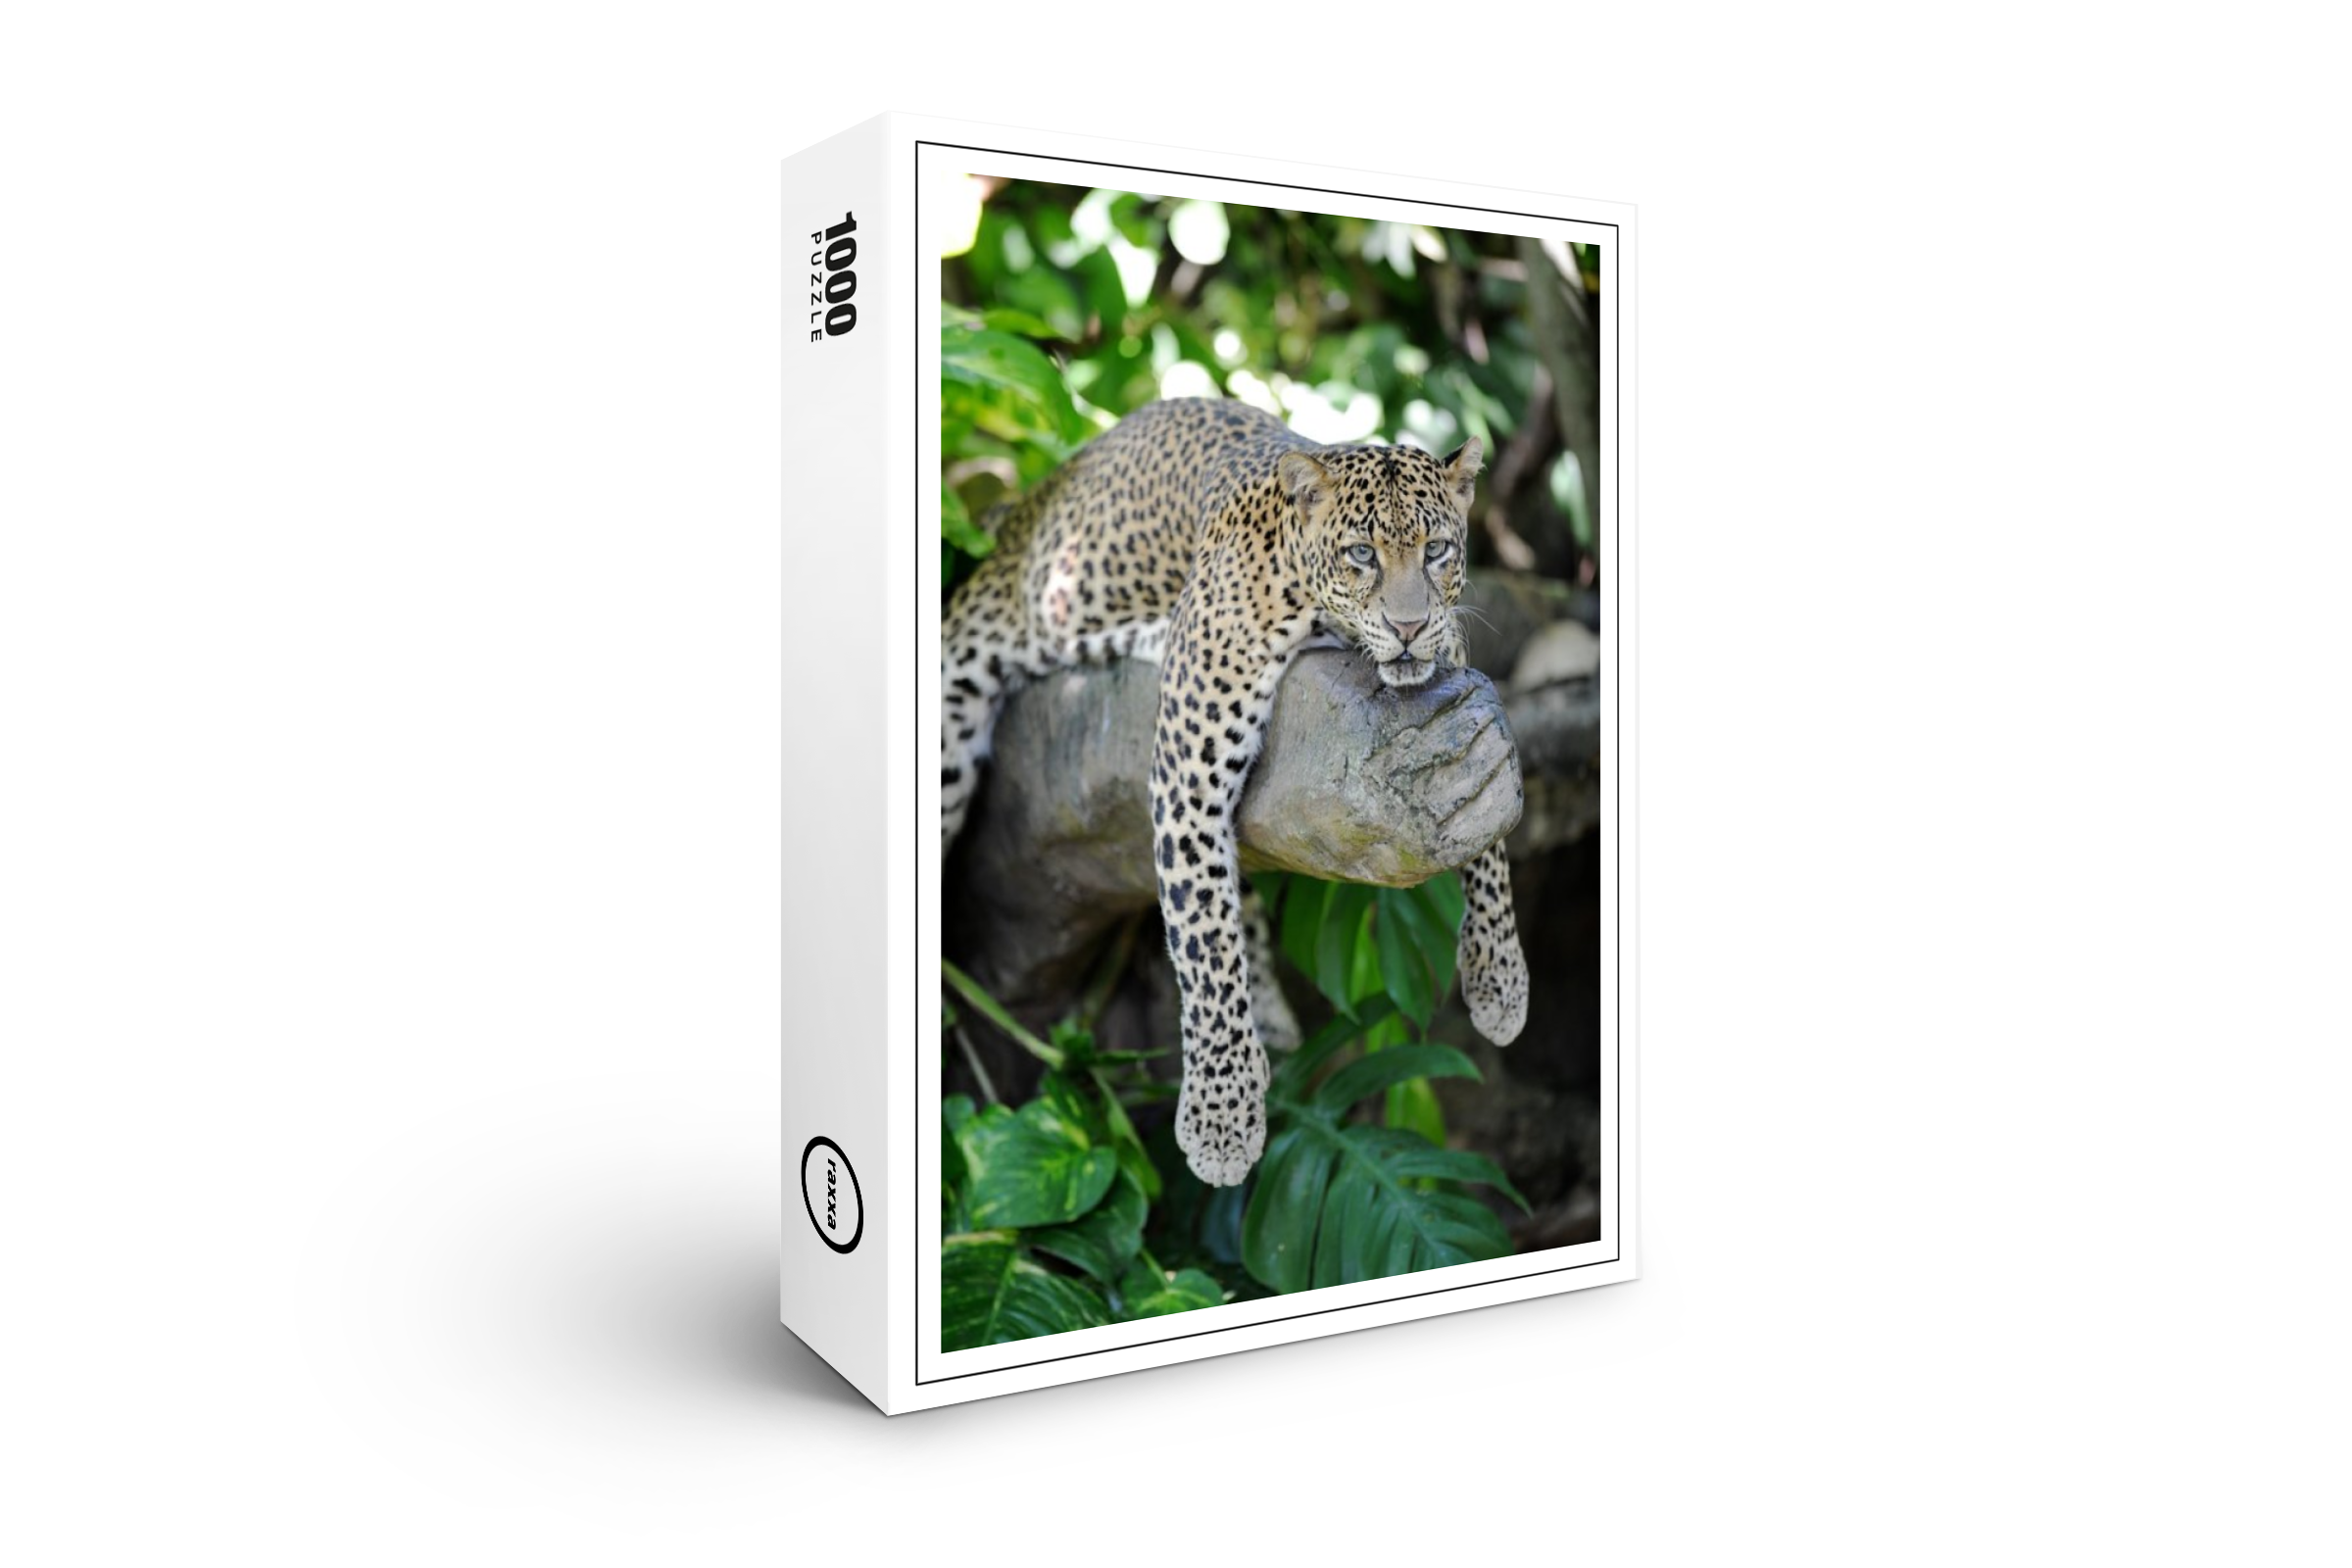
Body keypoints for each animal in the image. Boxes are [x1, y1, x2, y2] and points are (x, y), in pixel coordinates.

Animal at [940, 398, 1530, 1187]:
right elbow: (1205, 938)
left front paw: (1499, 978)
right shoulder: (1187, 768)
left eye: (1436, 549)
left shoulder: (1457, 672)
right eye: (1362, 555)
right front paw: (1221, 1120)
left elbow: (1488, 838)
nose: (1408, 627)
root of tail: (1020, 507)